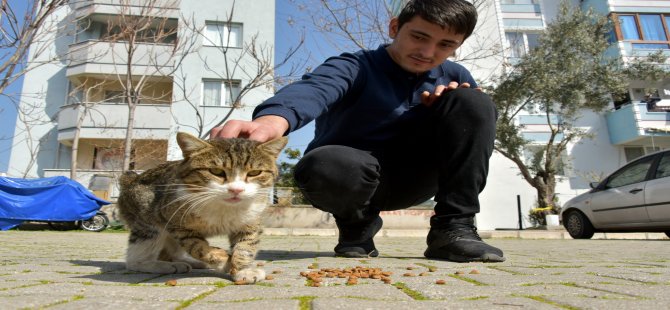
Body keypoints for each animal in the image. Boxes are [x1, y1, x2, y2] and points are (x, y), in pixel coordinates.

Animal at [117, 131, 288, 284]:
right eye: (216, 171)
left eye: (255, 172)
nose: (236, 190)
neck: (224, 208)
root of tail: (131, 179)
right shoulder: (177, 224)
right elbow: (198, 246)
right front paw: (223, 261)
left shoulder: (250, 221)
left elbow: (246, 245)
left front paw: (243, 269)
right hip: (148, 221)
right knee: (134, 260)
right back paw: (163, 265)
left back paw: (188, 262)